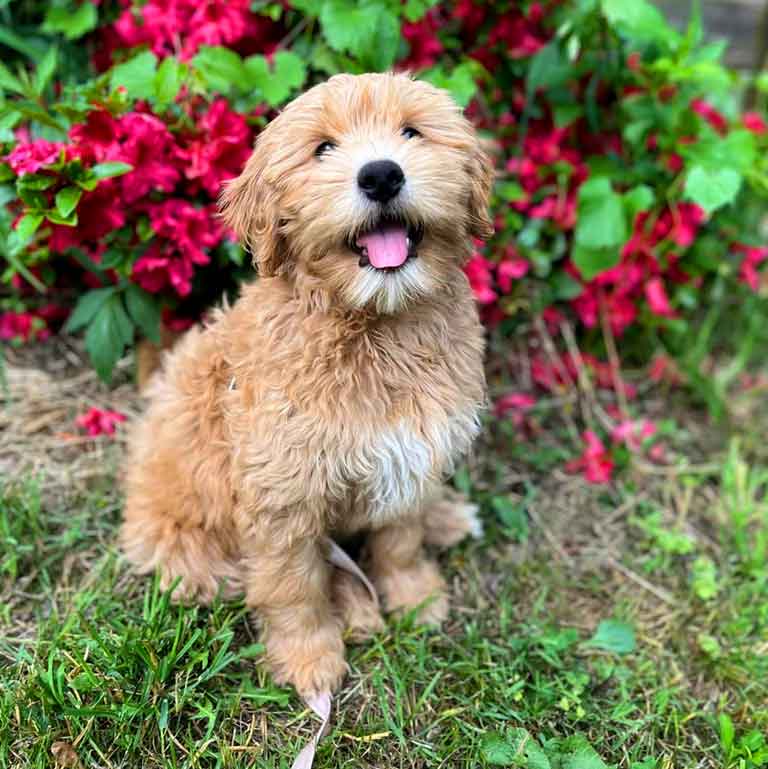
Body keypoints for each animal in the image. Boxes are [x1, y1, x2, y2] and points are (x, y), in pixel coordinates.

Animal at [120, 72, 492, 696]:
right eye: (323, 149)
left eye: (411, 132)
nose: (381, 175)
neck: (374, 327)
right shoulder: (281, 492)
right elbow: (293, 585)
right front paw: (309, 659)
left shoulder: (413, 451)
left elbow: (401, 539)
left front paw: (415, 597)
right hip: (188, 545)